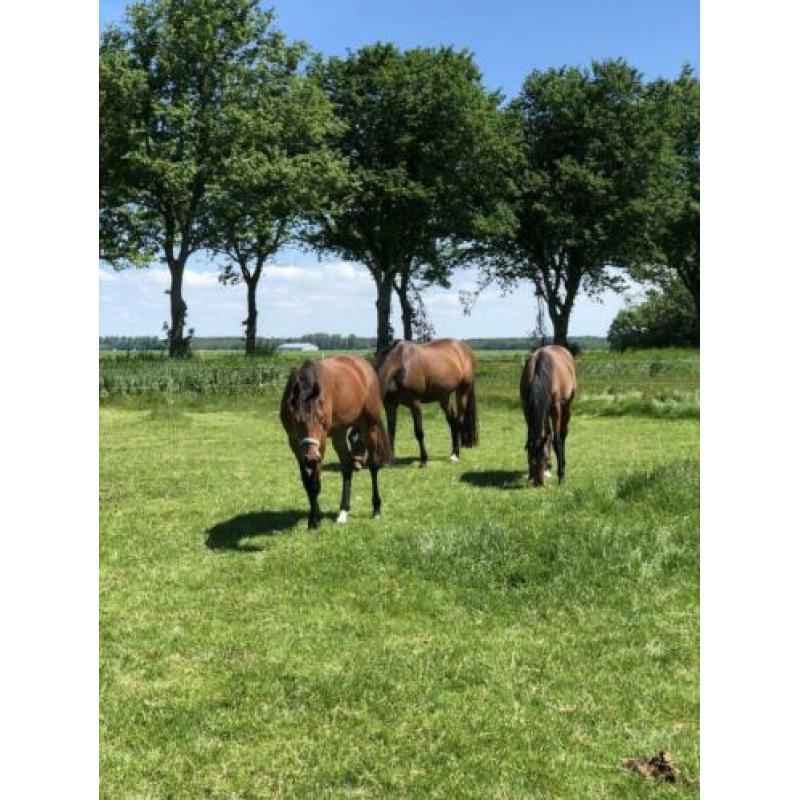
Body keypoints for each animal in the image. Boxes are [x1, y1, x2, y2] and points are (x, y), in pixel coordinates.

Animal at [280, 356, 392, 529]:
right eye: (297, 419)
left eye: (321, 418)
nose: (311, 457)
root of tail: (364, 366)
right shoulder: (294, 443)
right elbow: (308, 482)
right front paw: (316, 515)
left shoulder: (321, 442)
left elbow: (315, 483)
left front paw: (314, 521)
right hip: (339, 433)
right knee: (346, 467)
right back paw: (343, 511)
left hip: (369, 426)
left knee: (373, 466)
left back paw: (376, 509)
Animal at [520, 345, 576, 486]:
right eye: (532, 458)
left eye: (545, 457)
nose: (539, 483)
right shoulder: (526, 407)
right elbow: (531, 437)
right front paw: (531, 474)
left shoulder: (556, 408)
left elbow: (557, 441)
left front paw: (561, 477)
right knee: (548, 433)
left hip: (566, 406)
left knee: (562, 435)